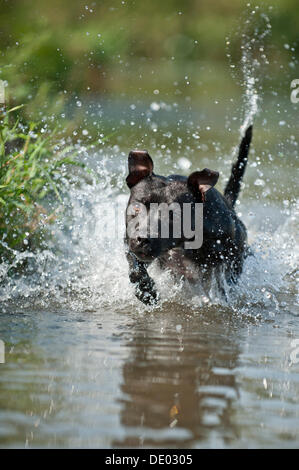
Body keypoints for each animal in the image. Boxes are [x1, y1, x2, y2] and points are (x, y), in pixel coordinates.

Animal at [124, 125, 253, 304]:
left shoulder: (225, 263)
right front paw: (146, 291)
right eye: (137, 207)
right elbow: (135, 268)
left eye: (174, 214)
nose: (142, 239)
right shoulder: (130, 241)